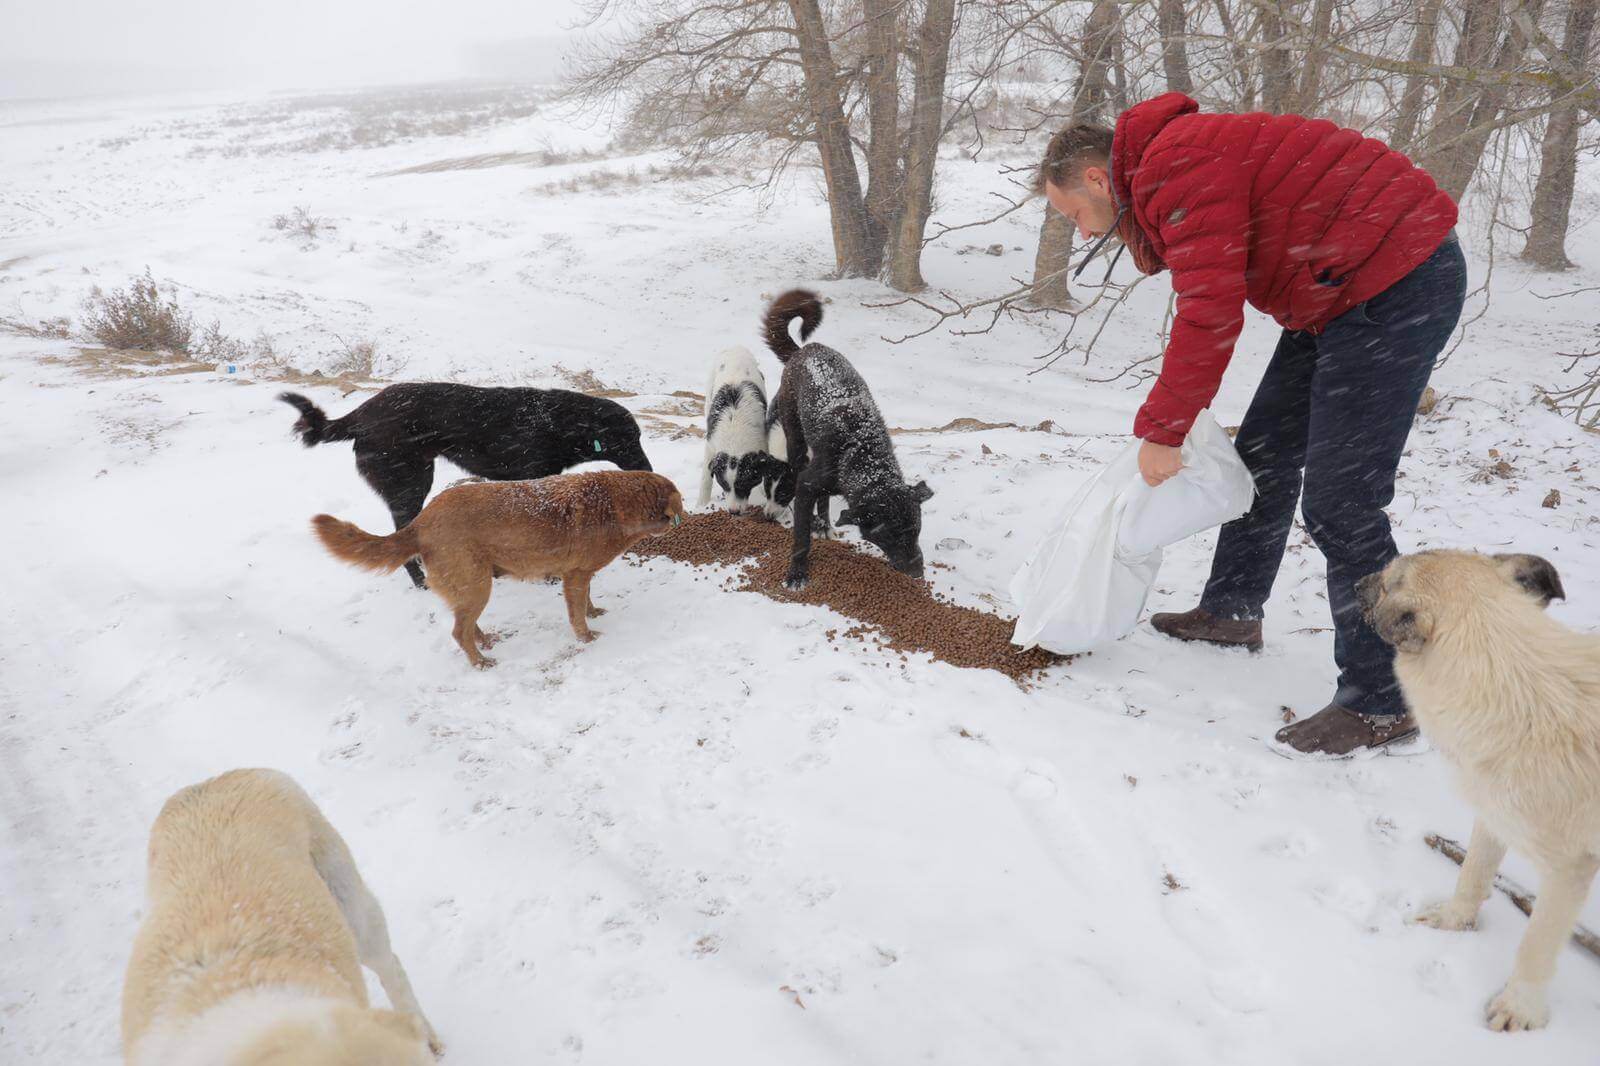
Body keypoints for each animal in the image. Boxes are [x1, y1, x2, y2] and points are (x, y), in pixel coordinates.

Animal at [281, 379, 649, 585]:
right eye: (629, 440)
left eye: (638, 437)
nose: (648, 468)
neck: (556, 423)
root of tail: (358, 415)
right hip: (410, 482)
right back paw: (422, 581)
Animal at [315, 467, 684, 659]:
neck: (619, 504)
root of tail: (419, 522)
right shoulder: (575, 575)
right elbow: (577, 614)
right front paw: (587, 636)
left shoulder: (580, 573)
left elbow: (588, 599)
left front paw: (594, 612)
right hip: (478, 584)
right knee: (458, 632)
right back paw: (480, 662)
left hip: (472, 587)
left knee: (466, 624)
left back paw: (486, 641)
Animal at [697, 344, 784, 512]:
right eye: (724, 484)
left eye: (743, 484)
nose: (734, 512)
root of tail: (735, 347)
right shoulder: (711, 446)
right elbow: (705, 478)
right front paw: (701, 505)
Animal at [764, 288, 934, 589]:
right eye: (889, 536)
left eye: (916, 530)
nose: (918, 574)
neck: (862, 453)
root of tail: (804, 350)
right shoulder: (807, 484)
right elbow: (801, 539)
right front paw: (797, 573)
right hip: (794, 435)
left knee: (823, 501)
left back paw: (824, 525)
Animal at [1356, 547, 1593, 1030]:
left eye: (1386, 582)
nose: (1353, 586)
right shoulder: (1493, 812)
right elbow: (1472, 875)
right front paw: (1454, 921)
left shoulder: (1569, 868)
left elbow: (1536, 945)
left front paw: (1519, 1007)